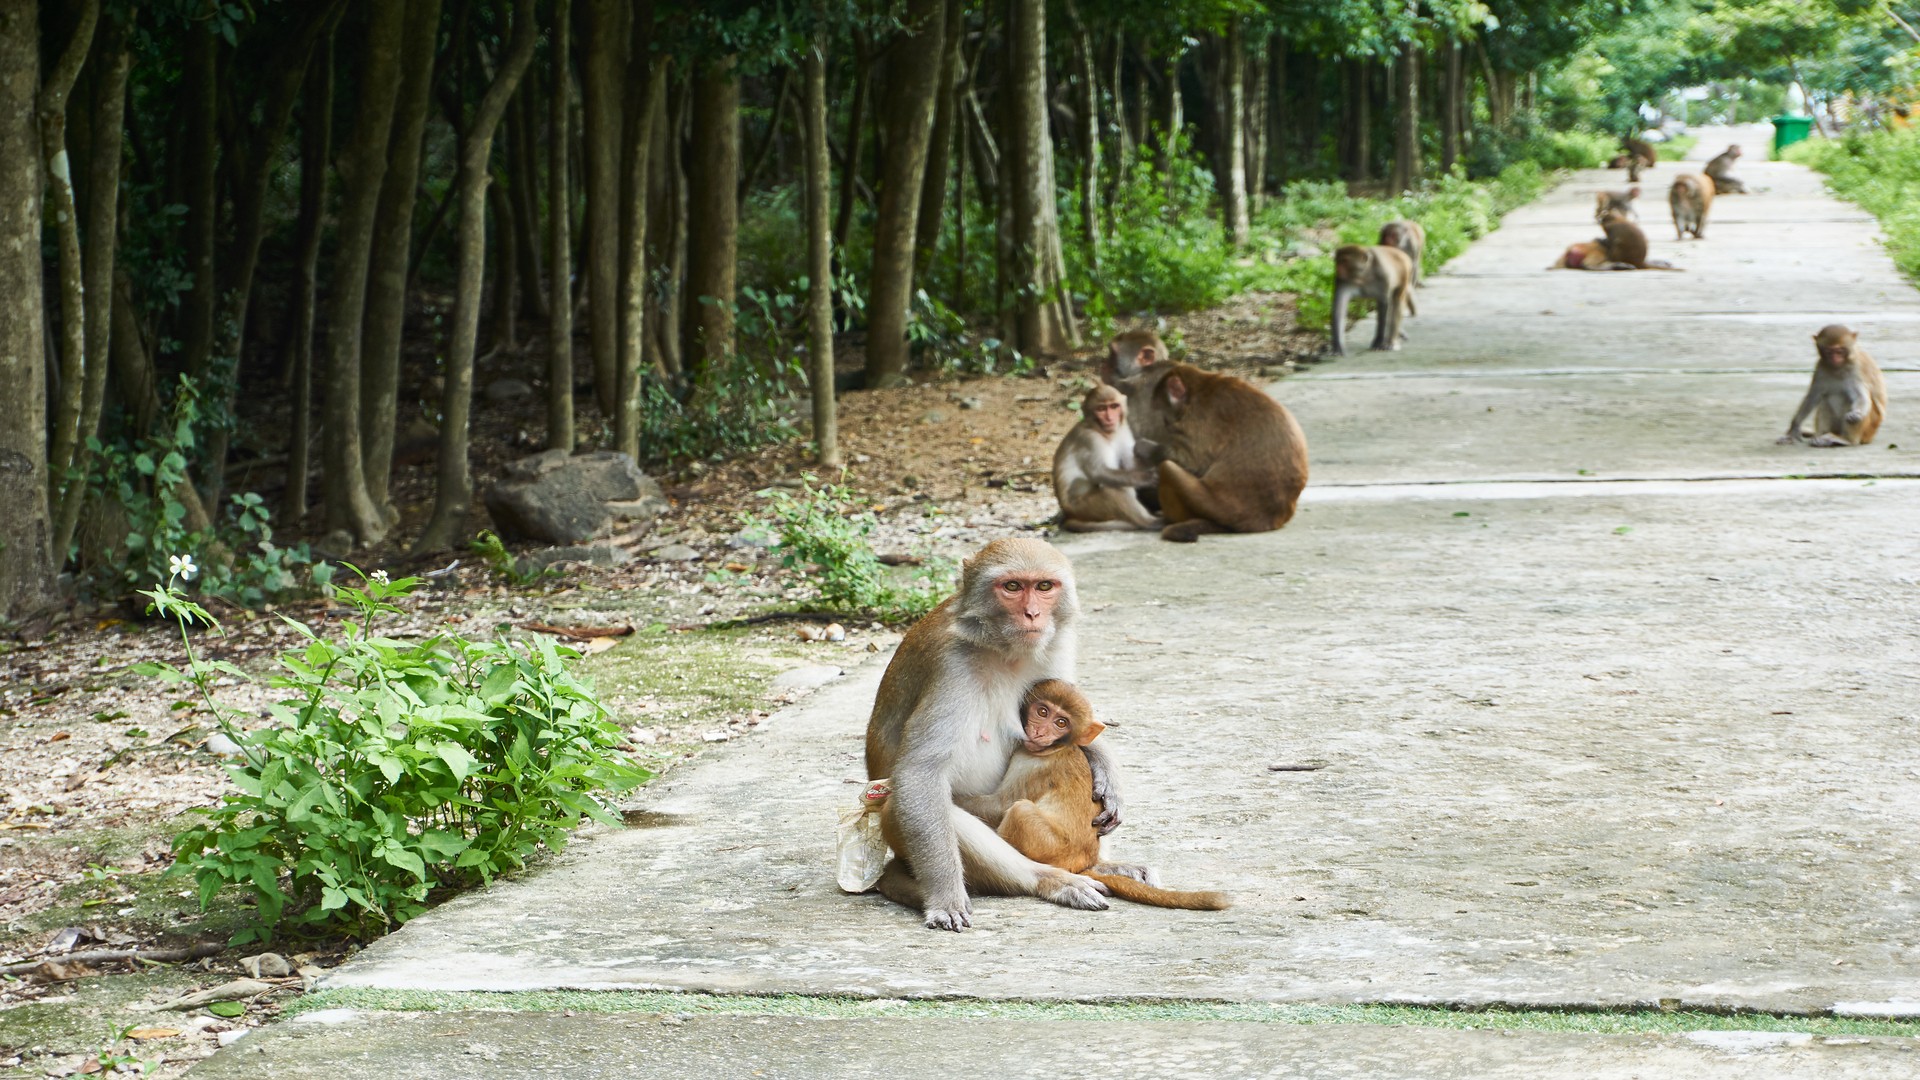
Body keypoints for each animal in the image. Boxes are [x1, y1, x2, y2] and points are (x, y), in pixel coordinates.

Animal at [865, 538, 1123, 931]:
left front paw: (1107, 776)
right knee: (921, 805)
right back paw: (1050, 880)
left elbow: (1081, 727)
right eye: (1012, 586)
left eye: (1044, 586)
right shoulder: (952, 665)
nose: (1032, 614)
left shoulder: (1055, 646)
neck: (1002, 649)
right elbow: (920, 773)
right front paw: (946, 898)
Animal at [955, 680, 1230, 911]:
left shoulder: (1030, 765)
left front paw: (954, 797)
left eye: (1061, 723)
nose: (1040, 733)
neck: (1059, 747)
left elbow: (1000, 805)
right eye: (1042, 712)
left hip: (1051, 846)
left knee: (1020, 810)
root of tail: (1081, 862)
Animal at [1052, 385, 1161, 532]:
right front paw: (1147, 478)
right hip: (1084, 508)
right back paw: (1149, 522)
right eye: (1101, 409)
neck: (1105, 433)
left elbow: (1130, 465)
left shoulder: (1122, 430)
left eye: (1114, 406)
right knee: (1112, 487)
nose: (1109, 418)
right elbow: (1099, 473)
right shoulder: (1089, 439)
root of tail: (1068, 513)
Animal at [1119, 363, 1309, 543]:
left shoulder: (1197, 419)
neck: (1198, 390)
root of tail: (1265, 520)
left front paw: (1143, 447)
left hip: (1213, 506)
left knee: (1168, 467)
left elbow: (1192, 463)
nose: (1167, 424)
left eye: (1164, 413)